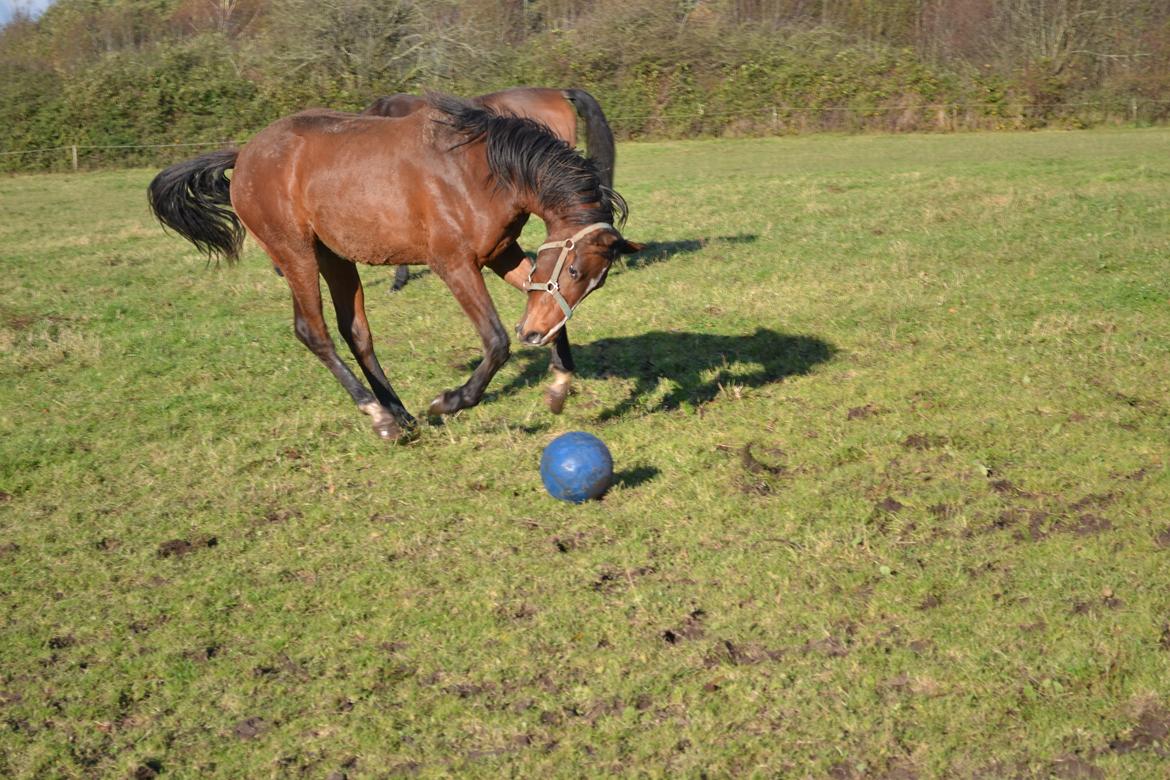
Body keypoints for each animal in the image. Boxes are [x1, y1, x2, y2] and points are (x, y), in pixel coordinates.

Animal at [148, 94, 641, 442]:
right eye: (574, 273)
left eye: (594, 283)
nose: (533, 336)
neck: (480, 170)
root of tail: (244, 154)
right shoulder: (454, 264)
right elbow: (496, 342)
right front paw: (451, 400)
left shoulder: (502, 252)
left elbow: (543, 306)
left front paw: (558, 386)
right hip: (295, 254)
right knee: (314, 332)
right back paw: (379, 415)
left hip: (335, 257)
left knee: (355, 333)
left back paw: (399, 413)